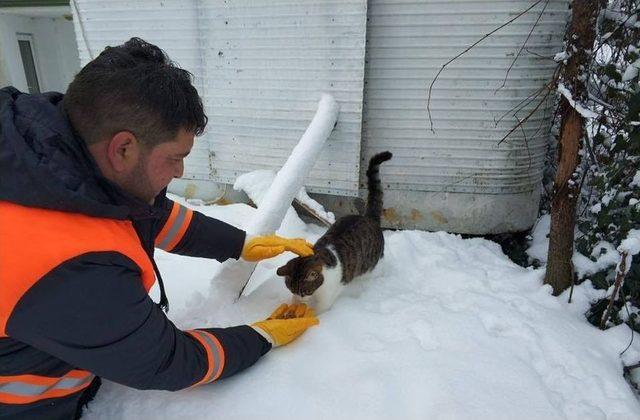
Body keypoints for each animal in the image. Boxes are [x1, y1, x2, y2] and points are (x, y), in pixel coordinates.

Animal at [278, 151, 392, 312]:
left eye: (305, 291)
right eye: (292, 290)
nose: (301, 299)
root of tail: (368, 217)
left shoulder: (327, 296)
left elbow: (319, 309)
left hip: (372, 265)